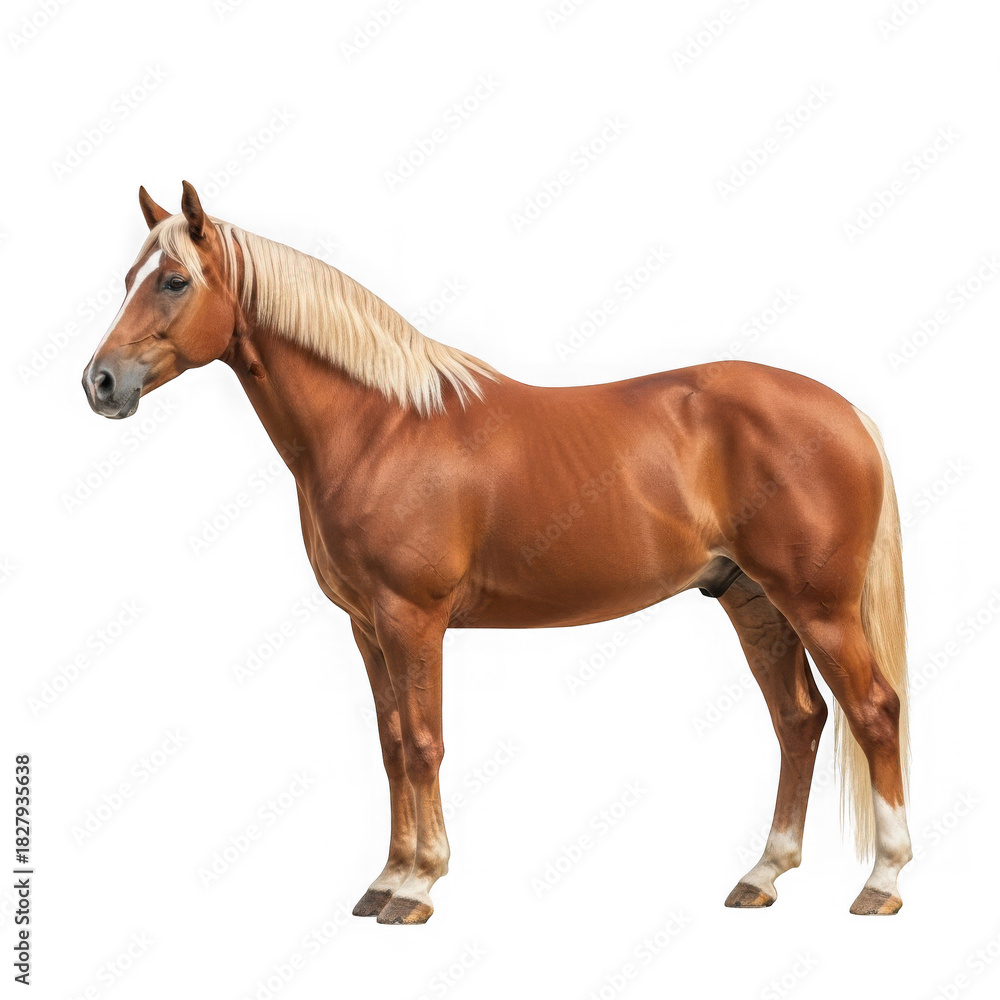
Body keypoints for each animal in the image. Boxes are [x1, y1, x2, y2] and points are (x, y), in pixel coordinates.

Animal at [82, 182, 912, 924]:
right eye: (127, 279)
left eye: (175, 280)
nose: (101, 382)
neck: (379, 427)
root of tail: (848, 413)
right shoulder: (366, 626)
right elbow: (390, 745)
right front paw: (385, 879)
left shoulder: (412, 619)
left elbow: (423, 743)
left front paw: (418, 886)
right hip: (752, 599)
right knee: (799, 720)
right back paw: (763, 875)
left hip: (819, 606)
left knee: (873, 711)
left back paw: (882, 882)